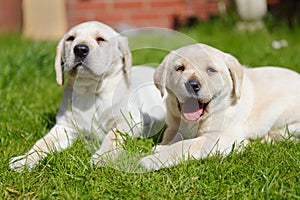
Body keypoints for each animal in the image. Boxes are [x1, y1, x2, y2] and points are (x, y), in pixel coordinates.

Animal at [9, 20, 164, 172]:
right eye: (70, 38)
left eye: (100, 39)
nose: (80, 49)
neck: (91, 91)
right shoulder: (65, 126)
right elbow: (43, 142)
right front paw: (26, 160)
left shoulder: (130, 121)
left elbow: (112, 135)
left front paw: (103, 157)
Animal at [141, 43, 300, 170]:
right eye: (180, 68)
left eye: (211, 70)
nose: (193, 84)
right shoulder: (174, 124)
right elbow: (172, 135)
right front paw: (162, 146)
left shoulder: (216, 138)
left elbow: (183, 145)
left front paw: (149, 161)